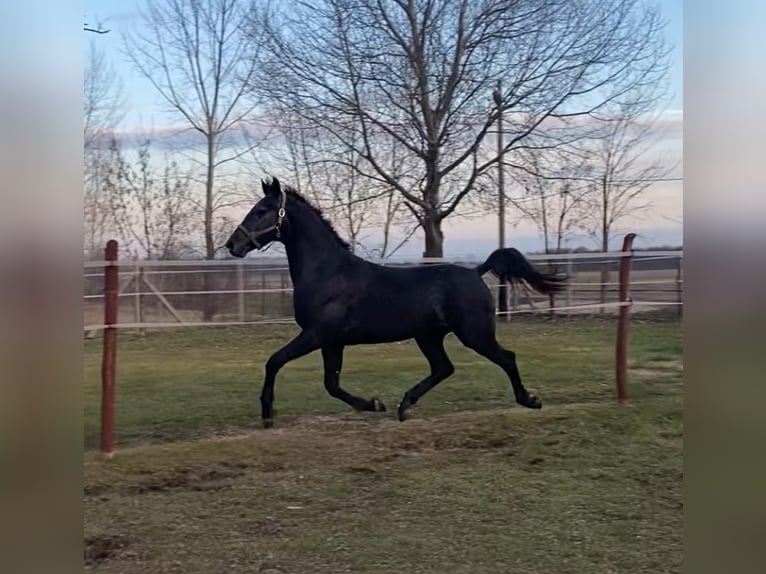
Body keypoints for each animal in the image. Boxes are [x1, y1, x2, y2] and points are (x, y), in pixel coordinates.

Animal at [225, 178, 568, 430]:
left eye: (262, 210)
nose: (232, 245)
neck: (327, 272)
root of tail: (475, 271)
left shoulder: (316, 335)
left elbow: (275, 361)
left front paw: (267, 415)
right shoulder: (332, 341)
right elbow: (331, 383)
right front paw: (374, 404)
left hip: (474, 334)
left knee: (506, 358)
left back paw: (529, 400)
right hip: (428, 336)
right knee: (444, 368)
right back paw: (404, 406)